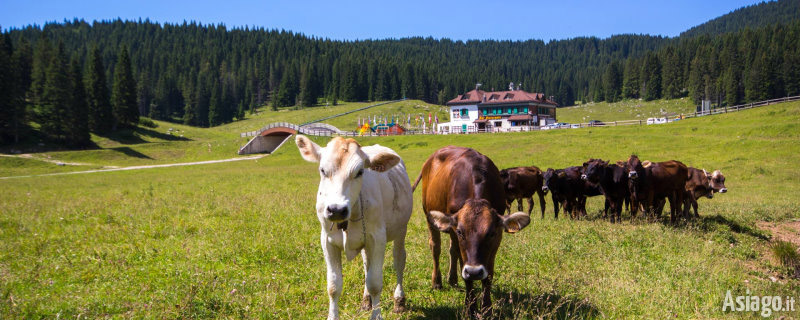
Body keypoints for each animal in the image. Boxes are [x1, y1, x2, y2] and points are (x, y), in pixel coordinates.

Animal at [296, 136, 416, 320]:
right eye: (323, 170)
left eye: (360, 172)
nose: (336, 209)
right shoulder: (327, 241)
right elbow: (333, 285)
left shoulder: (378, 238)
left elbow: (375, 282)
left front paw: (376, 315)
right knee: (367, 265)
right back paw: (366, 300)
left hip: (401, 230)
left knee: (399, 261)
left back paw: (399, 300)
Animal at [412, 146, 532, 316]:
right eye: (461, 232)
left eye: (491, 233)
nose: (474, 272)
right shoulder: (455, 231)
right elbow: (465, 270)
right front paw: (470, 307)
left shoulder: (497, 238)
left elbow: (488, 275)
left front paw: (487, 308)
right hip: (429, 216)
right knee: (436, 247)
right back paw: (437, 282)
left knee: (452, 250)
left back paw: (453, 279)